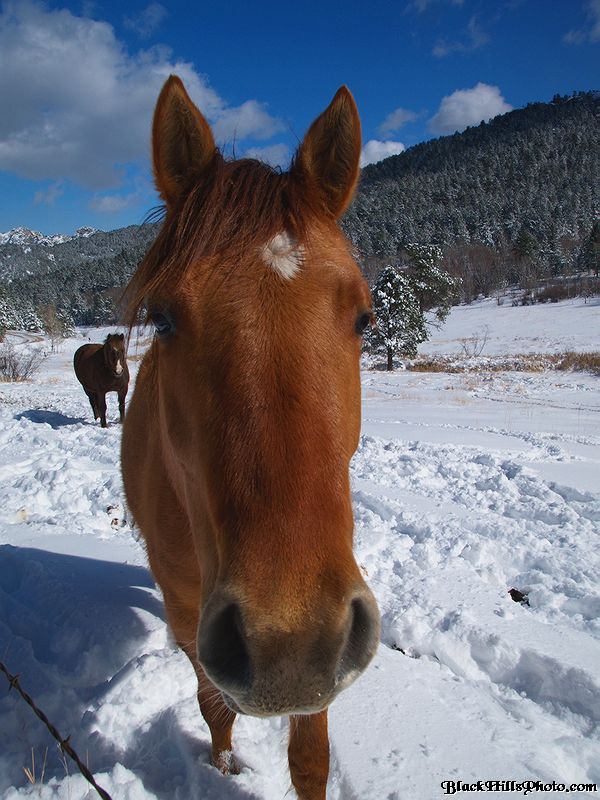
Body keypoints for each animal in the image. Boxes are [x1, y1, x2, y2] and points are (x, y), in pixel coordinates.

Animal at [121, 75, 380, 800]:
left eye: (364, 316)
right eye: (162, 317)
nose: (287, 644)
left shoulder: (332, 628)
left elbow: (311, 754)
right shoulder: (191, 614)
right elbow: (214, 706)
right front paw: (224, 769)